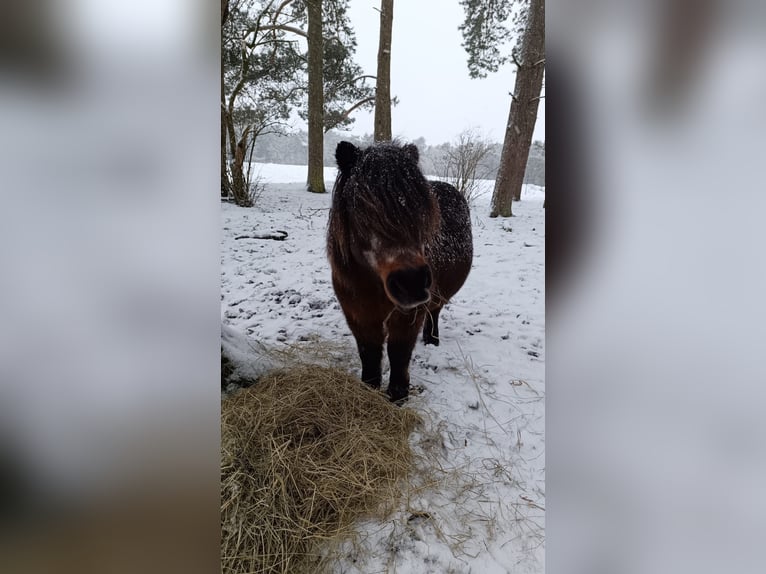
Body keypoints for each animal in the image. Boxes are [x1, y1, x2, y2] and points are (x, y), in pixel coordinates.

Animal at [328, 140, 474, 402]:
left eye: (422, 211)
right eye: (362, 208)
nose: (411, 283)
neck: (373, 284)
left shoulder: (407, 314)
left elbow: (399, 352)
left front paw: (398, 396)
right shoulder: (357, 313)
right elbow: (369, 353)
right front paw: (370, 389)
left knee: (434, 312)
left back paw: (432, 340)